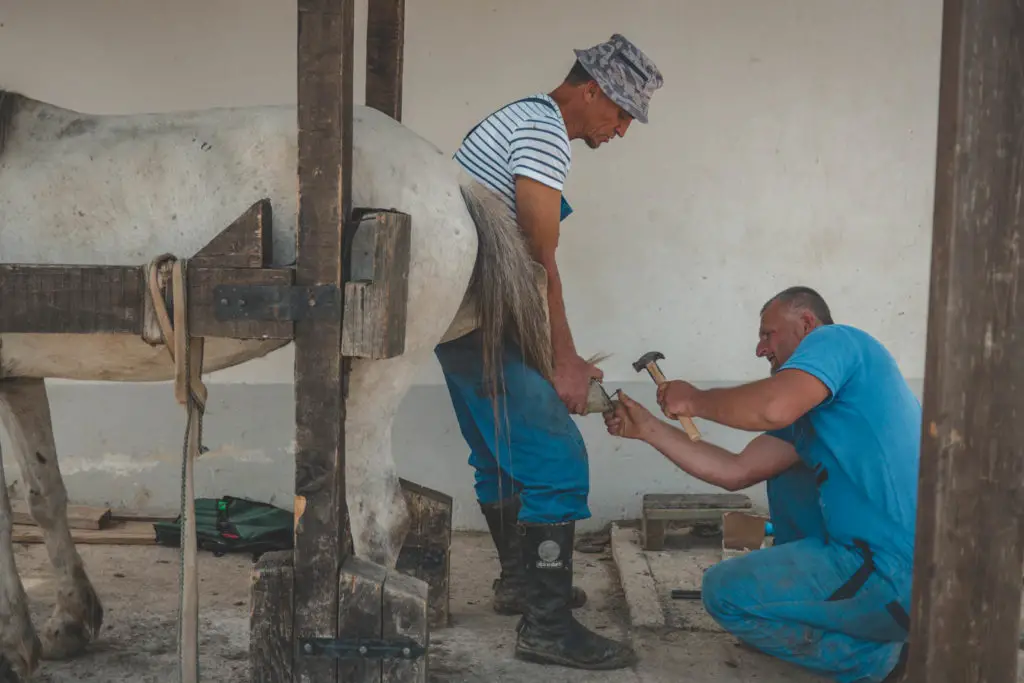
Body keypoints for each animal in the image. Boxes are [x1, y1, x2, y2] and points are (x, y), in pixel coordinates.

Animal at [0, 89, 552, 679]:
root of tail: (452, 179)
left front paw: (14, 647)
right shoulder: (16, 376)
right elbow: (43, 495)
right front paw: (69, 623)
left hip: (378, 376)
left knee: (380, 515)